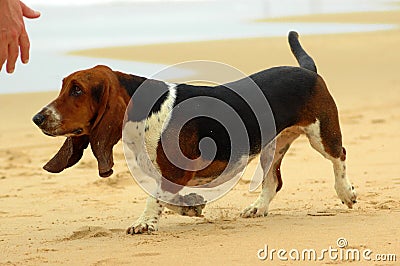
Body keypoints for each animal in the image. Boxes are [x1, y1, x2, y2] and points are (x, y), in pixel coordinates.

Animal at [33, 32, 356, 234]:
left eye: (77, 90)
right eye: (63, 86)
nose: (37, 118)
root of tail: (308, 70)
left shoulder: (175, 171)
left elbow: (154, 198)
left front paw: (145, 223)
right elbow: (167, 199)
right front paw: (192, 207)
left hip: (321, 135)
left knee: (339, 156)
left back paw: (346, 192)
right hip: (271, 147)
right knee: (273, 182)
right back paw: (257, 208)